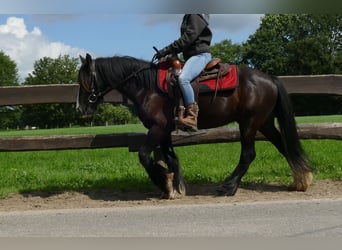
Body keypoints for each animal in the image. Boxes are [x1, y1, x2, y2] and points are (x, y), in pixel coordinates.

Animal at [77, 53, 312, 198]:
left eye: (84, 79)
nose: (80, 108)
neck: (148, 87)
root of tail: (270, 79)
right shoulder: (164, 131)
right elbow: (171, 158)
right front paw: (175, 187)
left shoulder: (157, 128)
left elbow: (144, 156)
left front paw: (164, 182)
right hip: (264, 123)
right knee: (283, 146)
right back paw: (302, 179)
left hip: (249, 123)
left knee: (248, 154)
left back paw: (229, 187)